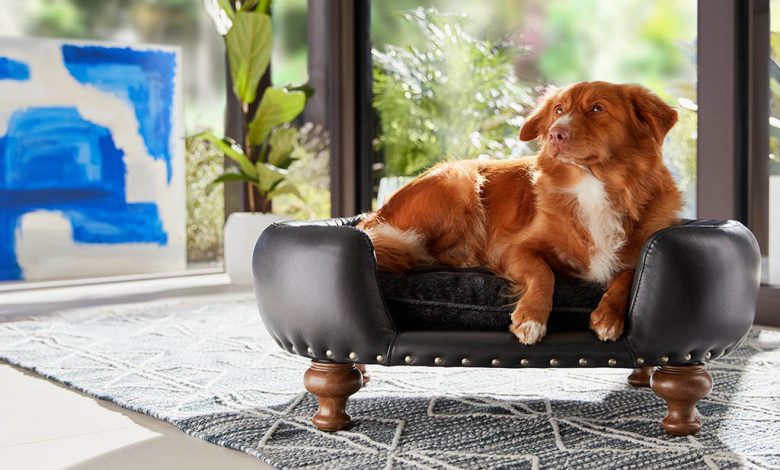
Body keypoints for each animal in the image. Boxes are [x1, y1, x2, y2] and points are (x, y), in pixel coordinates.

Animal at [356, 81, 680, 344]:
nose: (555, 134)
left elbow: (629, 273)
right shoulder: (513, 249)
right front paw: (531, 317)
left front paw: (609, 315)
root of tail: (373, 217)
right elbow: (543, 272)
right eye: (559, 109)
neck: (593, 184)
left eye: (598, 108)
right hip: (458, 178)